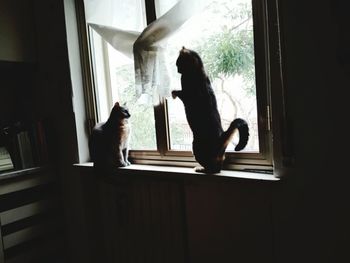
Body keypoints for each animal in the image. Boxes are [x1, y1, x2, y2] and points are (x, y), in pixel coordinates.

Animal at [172, 46, 249, 174]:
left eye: (178, 63)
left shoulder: (187, 96)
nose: (177, 70)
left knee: (214, 169)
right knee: (218, 166)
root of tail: (221, 137)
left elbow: (179, 92)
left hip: (196, 147)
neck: (198, 71)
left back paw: (201, 169)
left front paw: (173, 93)